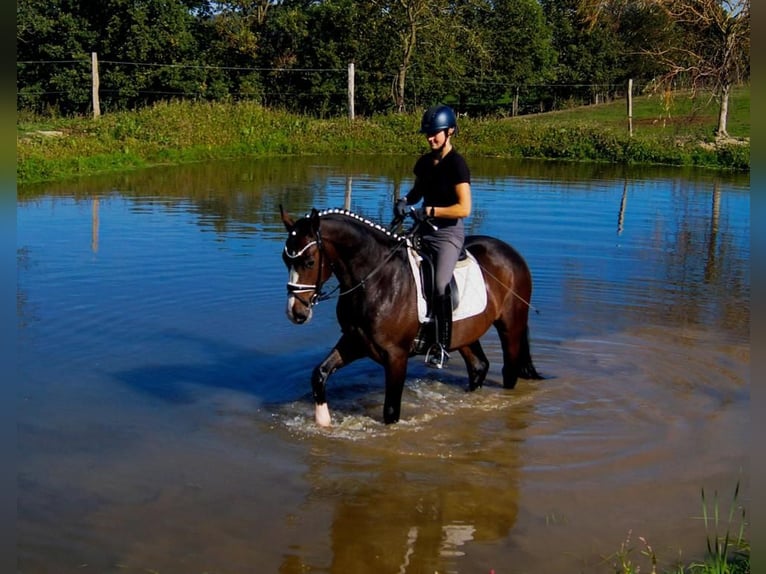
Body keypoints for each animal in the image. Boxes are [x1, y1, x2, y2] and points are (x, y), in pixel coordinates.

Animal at [280, 206, 542, 426]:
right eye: (285, 260)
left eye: (309, 261)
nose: (296, 313)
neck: (376, 279)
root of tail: (510, 253)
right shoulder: (355, 341)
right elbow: (320, 373)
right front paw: (324, 422)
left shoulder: (396, 356)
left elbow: (391, 410)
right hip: (465, 333)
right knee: (479, 366)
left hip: (511, 325)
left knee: (509, 371)